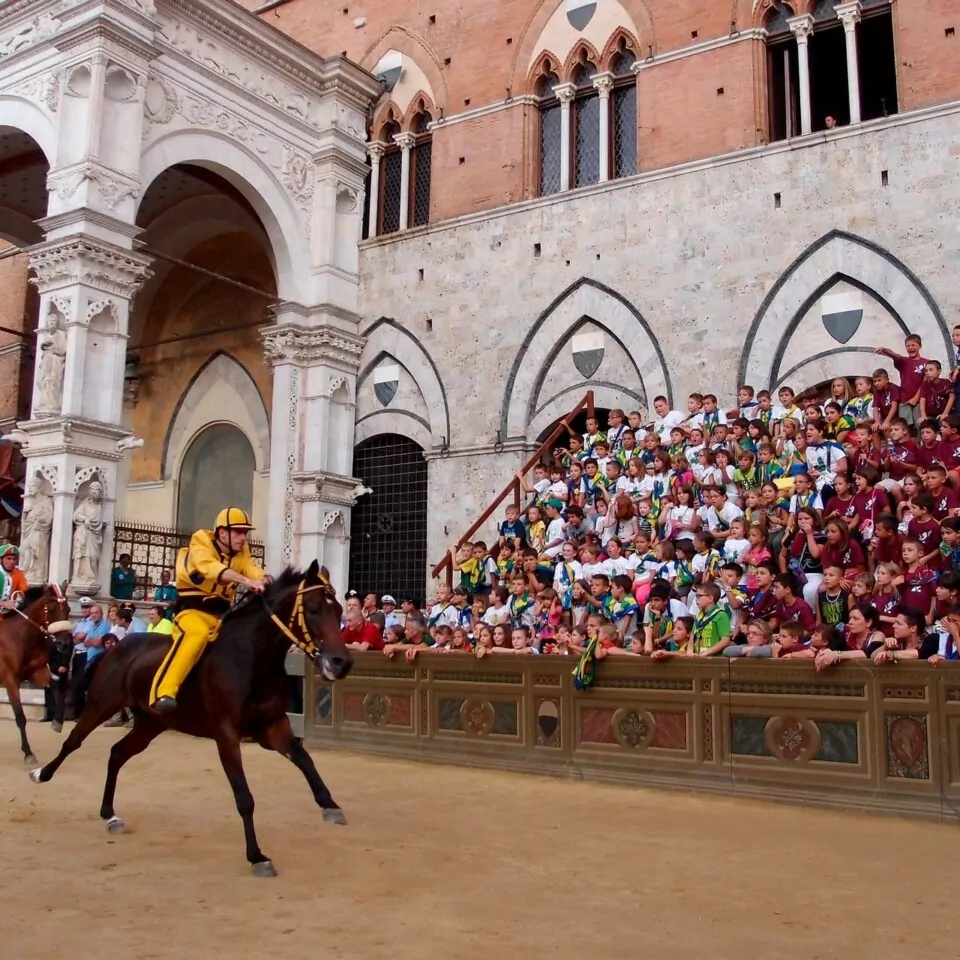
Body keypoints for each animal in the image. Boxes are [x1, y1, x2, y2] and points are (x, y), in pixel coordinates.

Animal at [0, 584, 73, 764]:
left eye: (68, 608)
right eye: (51, 608)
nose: (64, 644)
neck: (21, 637)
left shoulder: (37, 672)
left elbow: (57, 689)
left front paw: (57, 722)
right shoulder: (10, 680)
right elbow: (20, 716)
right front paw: (28, 753)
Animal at [33, 564, 358, 876]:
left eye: (339, 611)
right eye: (313, 609)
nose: (341, 662)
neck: (250, 657)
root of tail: (115, 647)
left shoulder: (273, 727)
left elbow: (305, 760)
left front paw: (330, 805)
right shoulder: (227, 735)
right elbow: (244, 797)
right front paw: (257, 857)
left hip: (151, 723)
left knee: (117, 753)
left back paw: (110, 814)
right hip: (101, 704)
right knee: (74, 741)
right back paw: (41, 773)